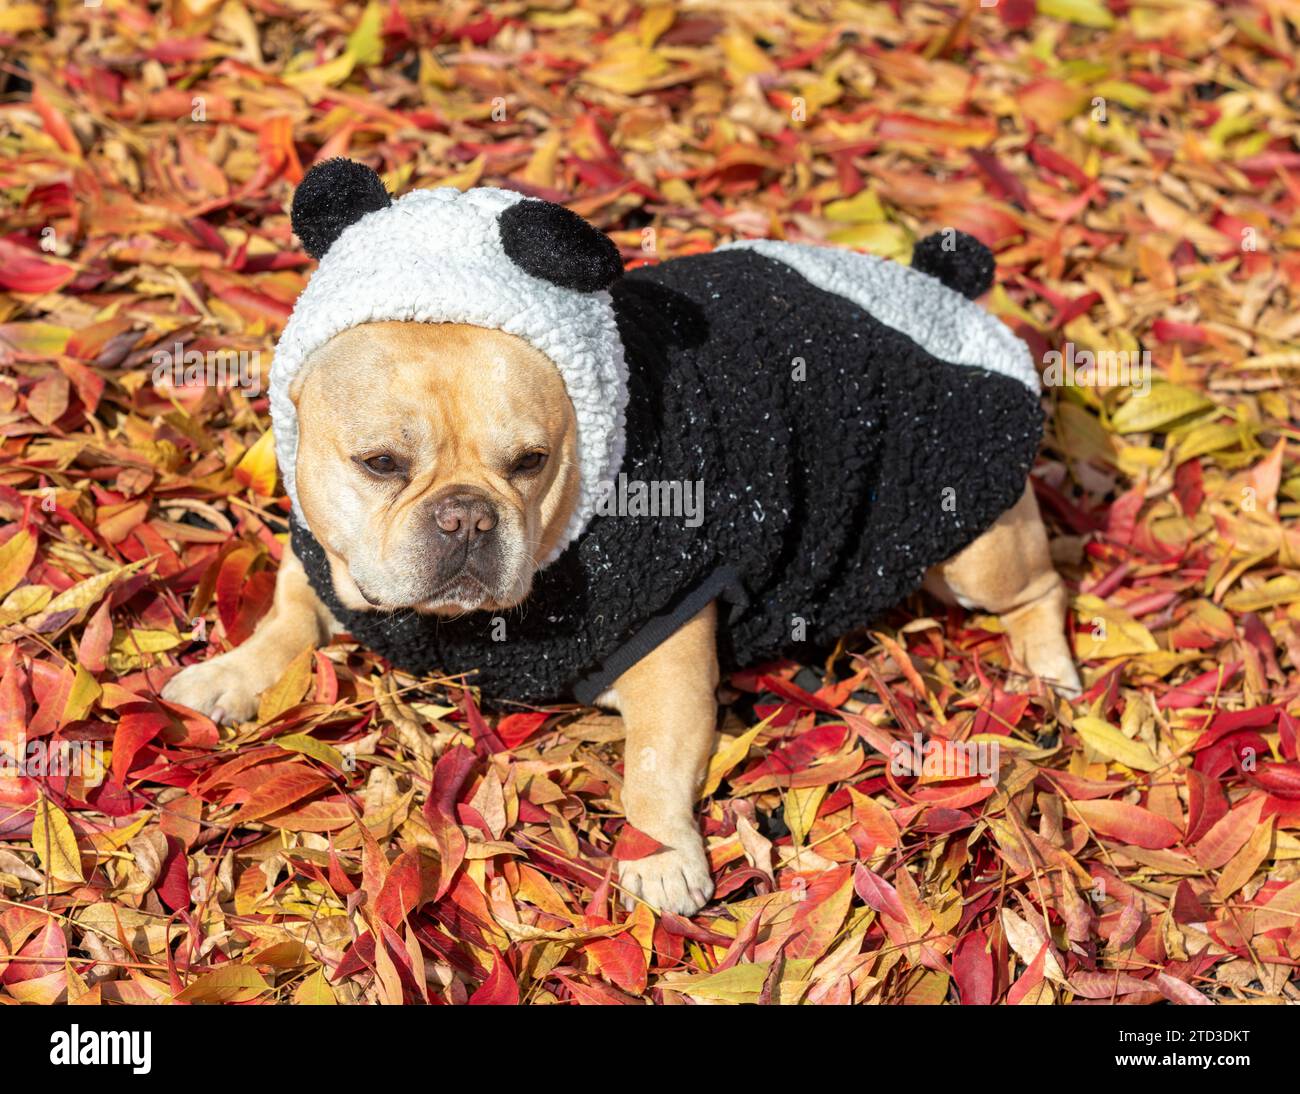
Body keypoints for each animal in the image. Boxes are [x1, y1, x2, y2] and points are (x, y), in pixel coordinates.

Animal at [271, 158, 1043, 706]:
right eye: (379, 463)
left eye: (530, 462)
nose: (467, 517)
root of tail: (944, 295)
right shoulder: (317, 551)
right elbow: (285, 617)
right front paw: (242, 679)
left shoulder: (667, 639)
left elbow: (655, 773)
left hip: (975, 537)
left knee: (1033, 589)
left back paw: (1051, 673)